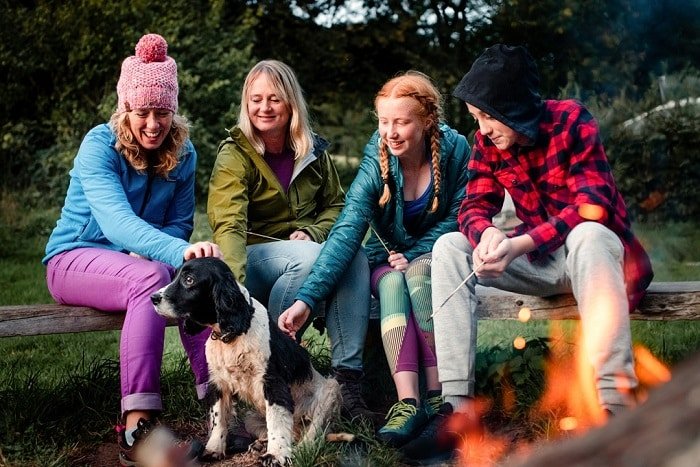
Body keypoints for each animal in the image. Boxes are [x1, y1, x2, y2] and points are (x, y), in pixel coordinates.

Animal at [151, 258, 342, 466]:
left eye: (189, 280)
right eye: (176, 276)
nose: (153, 298)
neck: (231, 335)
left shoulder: (273, 382)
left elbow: (277, 419)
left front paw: (276, 455)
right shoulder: (218, 382)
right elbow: (218, 417)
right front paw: (213, 449)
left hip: (331, 390)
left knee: (313, 434)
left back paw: (298, 450)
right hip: (251, 416)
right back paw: (260, 444)